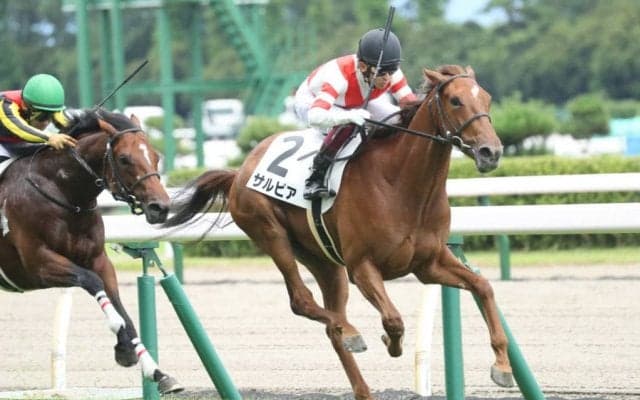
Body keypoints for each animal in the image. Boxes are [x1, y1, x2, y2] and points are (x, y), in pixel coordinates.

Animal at [0, 109, 182, 394]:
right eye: (124, 159)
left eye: (156, 156)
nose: (160, 207)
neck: (63, 193)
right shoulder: (38, 265)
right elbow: (91, 282)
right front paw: (119, 336)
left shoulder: (99, 260)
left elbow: (119, 305)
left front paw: (154, 369)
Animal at [164, 65, 510, 399]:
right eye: (456, 101)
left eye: (488, 99)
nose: (491, 151)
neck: (401, 185)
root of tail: (239, 172)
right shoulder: (362, 267)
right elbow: (393, 319)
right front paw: (389, 342)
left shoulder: (429, 264)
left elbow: (483, 287)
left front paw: (502, 367)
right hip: (271, 233)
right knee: (302, 301)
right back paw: (353, 333)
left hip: (324, 261)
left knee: (331, 326)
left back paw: (362, 386)